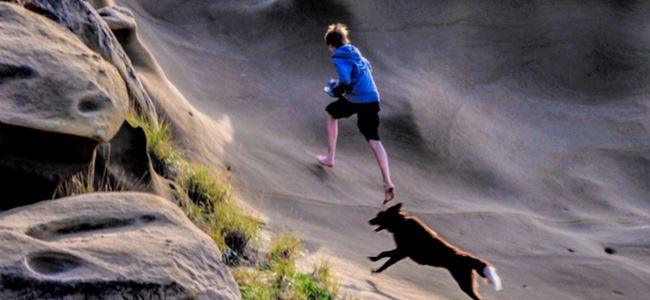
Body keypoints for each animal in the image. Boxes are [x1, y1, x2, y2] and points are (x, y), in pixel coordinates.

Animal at [368, 203, 498, 298]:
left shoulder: (401, 253)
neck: (401, 223)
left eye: (380, 215)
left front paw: (376, 269)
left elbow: (386, 261)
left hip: (464, 283)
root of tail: (468, 257)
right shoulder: (400, 251)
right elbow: (384, 255)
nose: (369, 221)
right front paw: (374, 259)